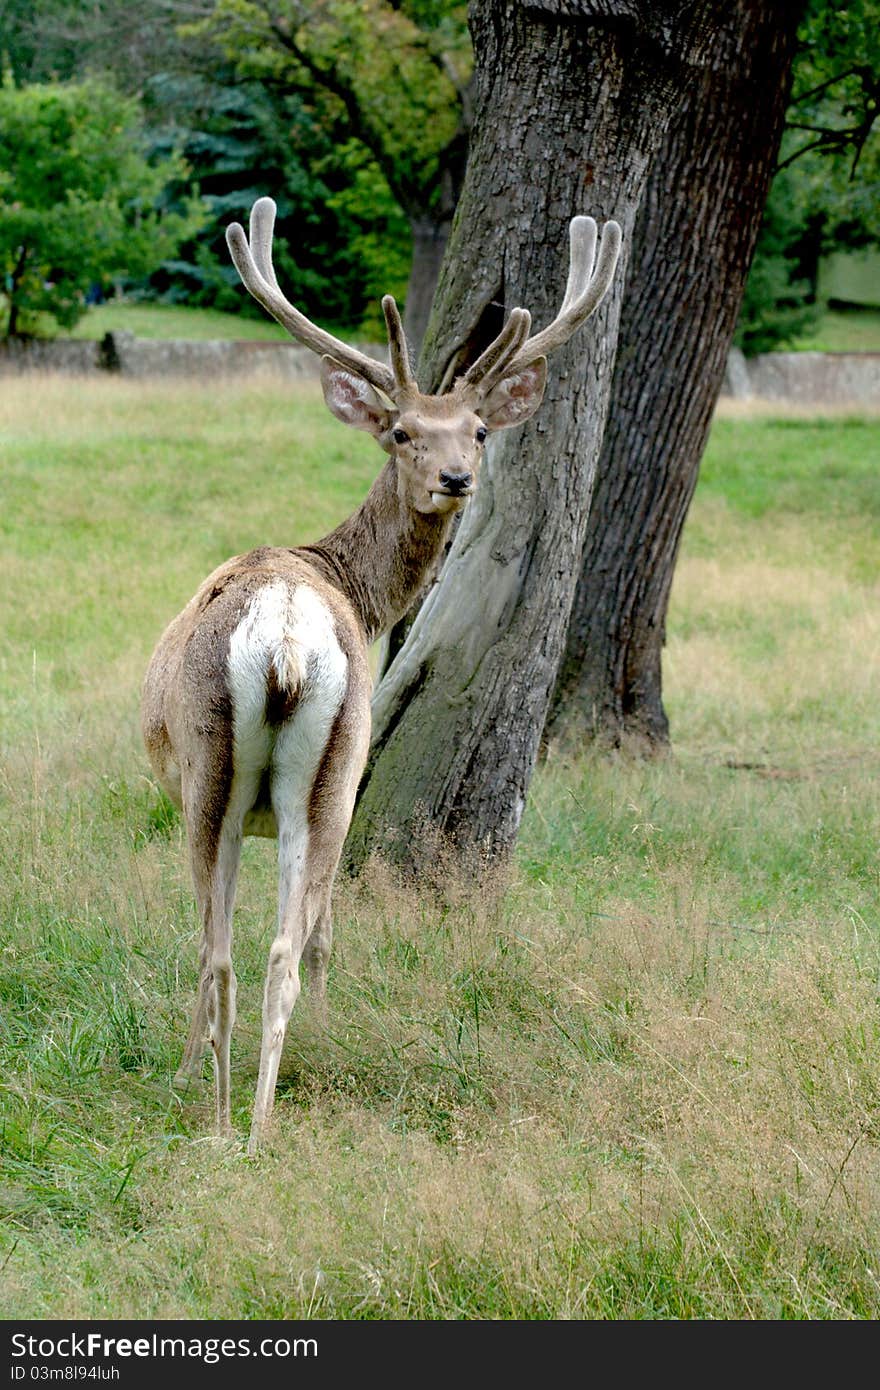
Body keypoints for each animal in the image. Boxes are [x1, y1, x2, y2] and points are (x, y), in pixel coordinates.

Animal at [140, 198, 620, 1150]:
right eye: (403, 432)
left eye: (477, 429)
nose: (457, 477)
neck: (346, 583)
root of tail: (288, 632)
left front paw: (198, 1066)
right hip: (313, 777)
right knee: (267, 949)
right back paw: (250, 1114)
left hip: (238, 771)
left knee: (236, 948)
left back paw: (232, 1118)